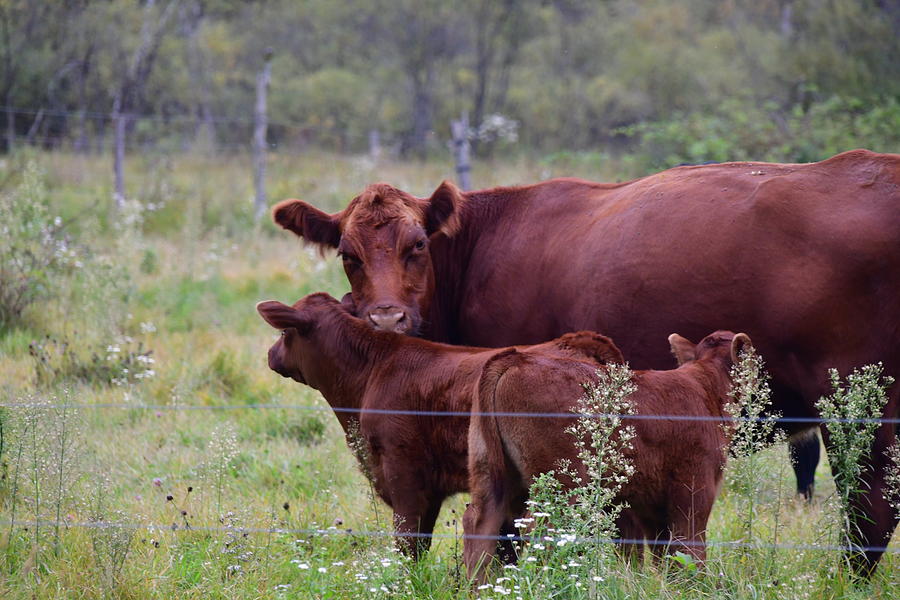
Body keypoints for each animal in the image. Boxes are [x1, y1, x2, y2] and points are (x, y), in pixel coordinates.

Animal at [256, 292, 624, 560]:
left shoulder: (404, 473)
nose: (271, 355)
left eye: (285, 332)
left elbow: (408, 542)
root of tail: (582, 341)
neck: (372, 371)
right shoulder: (431, 487)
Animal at [464, 330, 752, 584]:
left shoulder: (649, 502)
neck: (706, 387)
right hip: (562, 485)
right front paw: (695, 585)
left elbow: (661, 550)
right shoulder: (695, 487)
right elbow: (690, 542)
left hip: (489, 469)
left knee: (480, 523)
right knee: (541, 529)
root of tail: (515, 357)